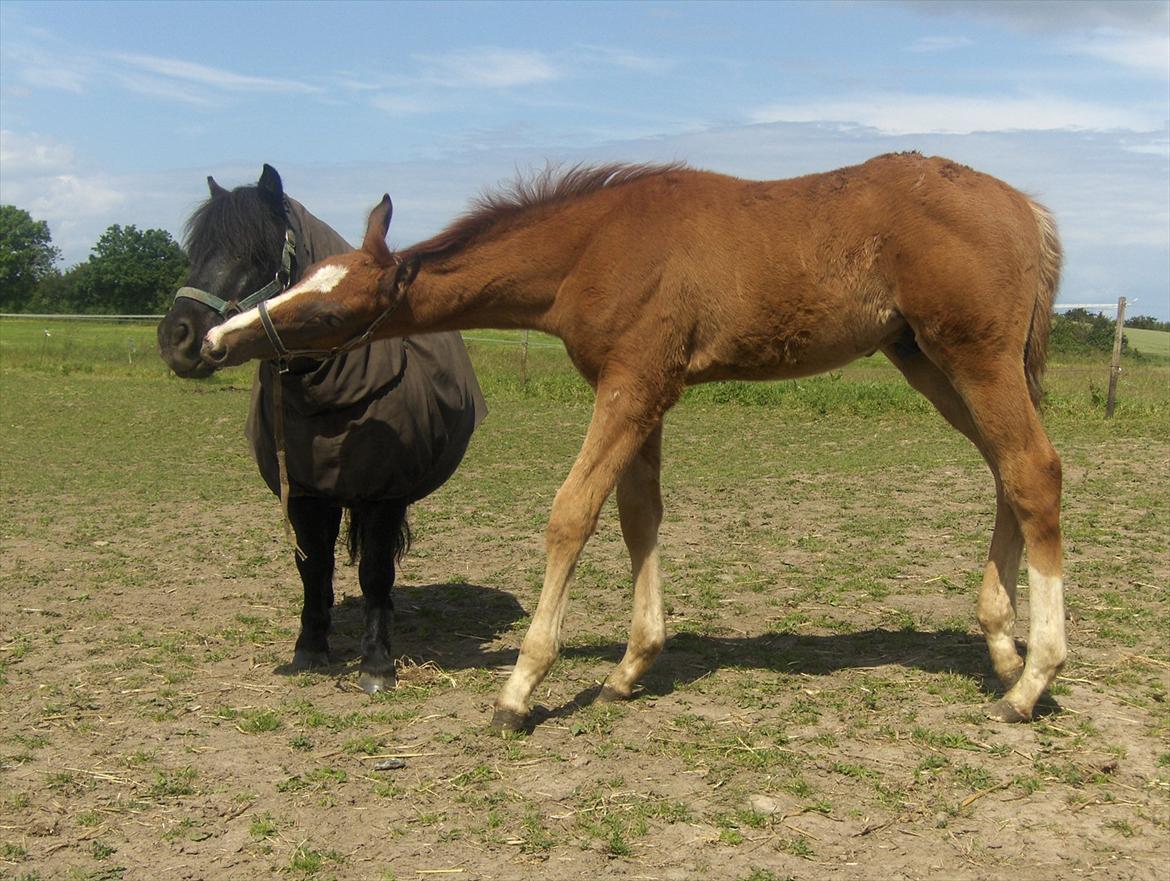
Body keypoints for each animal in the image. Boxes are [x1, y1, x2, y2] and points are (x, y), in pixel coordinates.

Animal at [156, 164, 484, 692]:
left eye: (258, 252)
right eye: (196, 251)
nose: (178, 339)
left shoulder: (384, 494)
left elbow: (374, 573)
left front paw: (376, 662)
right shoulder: (306, 494)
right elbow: (313, 569)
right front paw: (310, 647)